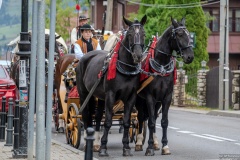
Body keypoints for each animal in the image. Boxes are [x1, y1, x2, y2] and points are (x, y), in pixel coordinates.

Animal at [75, 15, 146, 156]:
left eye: (143, 34)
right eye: (130, 34)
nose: (138, 55)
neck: (125, 70)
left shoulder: (131, 97)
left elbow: (126, 121)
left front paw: (126, 147)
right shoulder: (111, 95)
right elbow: (107, 121)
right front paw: (103, 148)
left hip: (100, 96)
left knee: (96, 117)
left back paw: (95, 143)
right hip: (84, 93)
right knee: (86, 115)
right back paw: (87, 142)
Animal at [136, 17, 194, 156]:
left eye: (189, 34)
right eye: (179, 34)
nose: (190, 57)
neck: (161, 66)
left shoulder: (166, 97)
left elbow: (163, 122)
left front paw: (164, 146)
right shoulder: (150, 97)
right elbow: (151, 122)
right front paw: (149, 147)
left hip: (158, 102)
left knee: (152, 117)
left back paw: (156, 142)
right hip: (139, 99)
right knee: (140, 117)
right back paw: (139, 142)